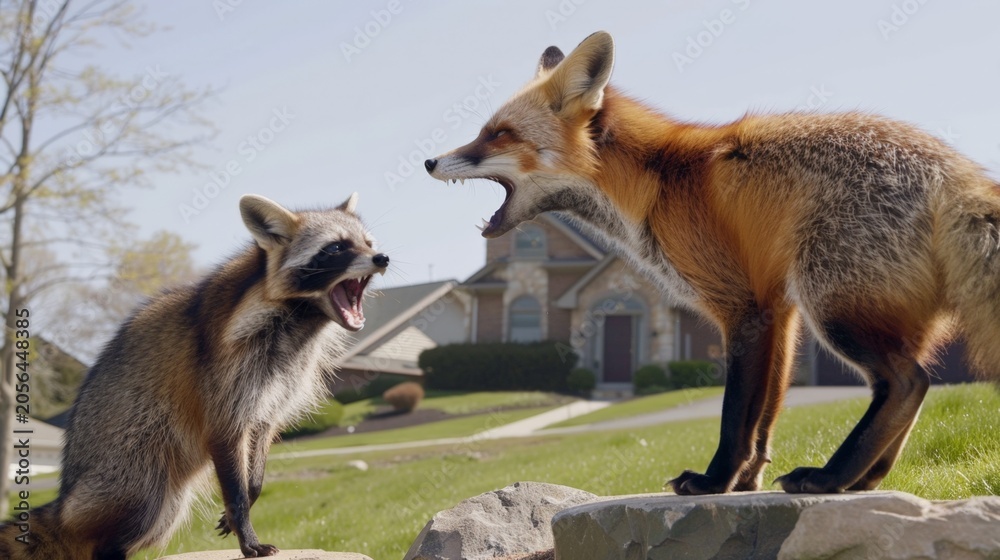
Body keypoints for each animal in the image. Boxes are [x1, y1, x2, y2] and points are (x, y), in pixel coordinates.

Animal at [0, 194, 389, 559]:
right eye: (336, 248)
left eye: (368, 243)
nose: (382, 257)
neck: (302, 321)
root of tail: (65, 502)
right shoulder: (224, 386)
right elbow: (231, 473)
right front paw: (245, 528)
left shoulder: (276, 391)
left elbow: (258, 454)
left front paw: (249, 495)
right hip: (136, 474)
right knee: (123, 526)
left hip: (163, 497)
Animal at [425, 31, 1000, 496]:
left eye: (499, 133)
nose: (429, 161)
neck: (655, 181)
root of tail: (955, 173)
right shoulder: (778, 312)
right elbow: (763, 419)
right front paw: (745, 484)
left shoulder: (740, 306)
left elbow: (734, 416)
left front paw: (714, 482)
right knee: (909, 387)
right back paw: (865, 478)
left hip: (837, 310)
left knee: (908, 382)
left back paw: (831, 477)